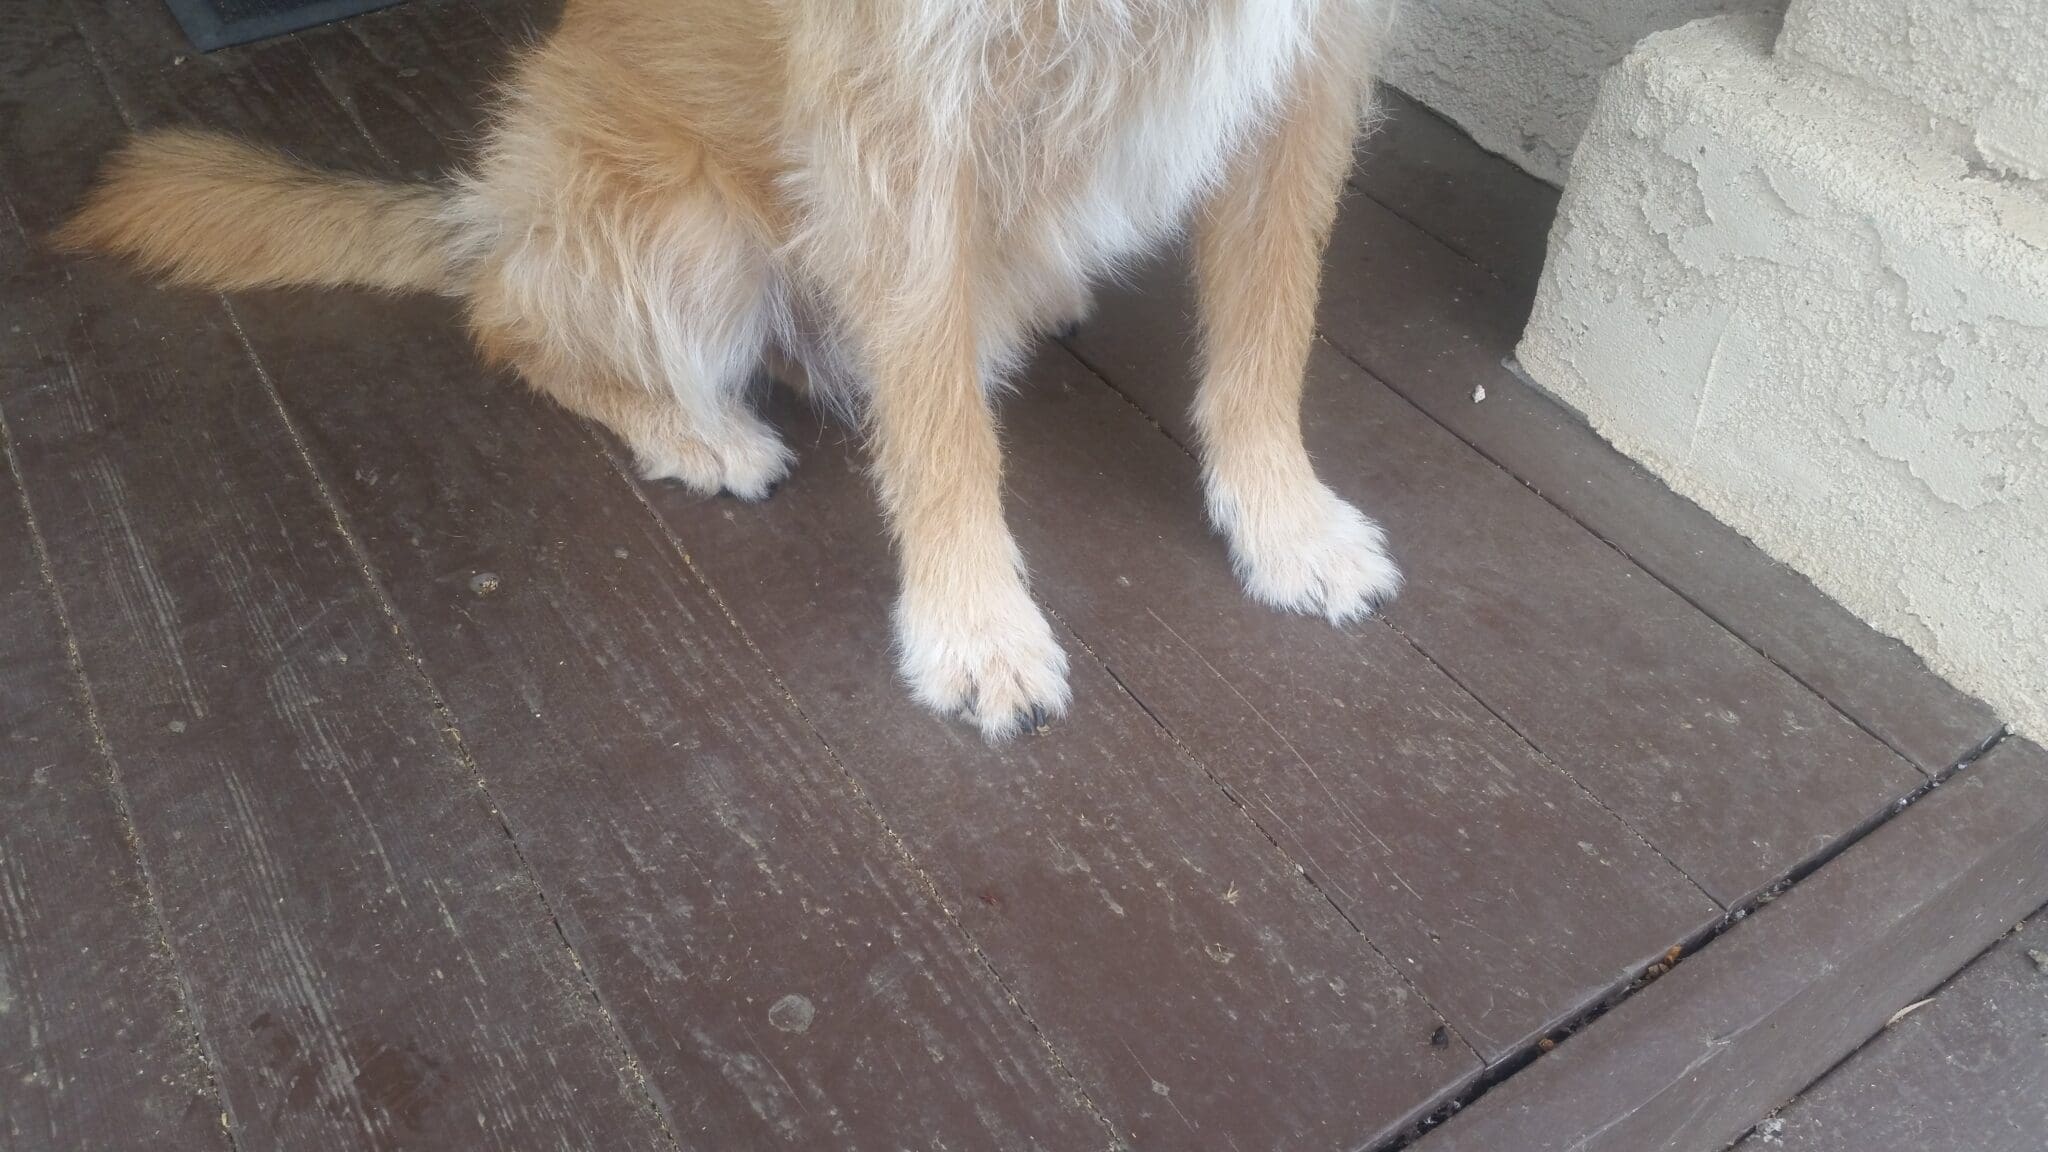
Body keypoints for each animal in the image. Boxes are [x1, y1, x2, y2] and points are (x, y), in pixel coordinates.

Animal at [64, 0, 1409, 733]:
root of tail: (489, 207)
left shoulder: (1312, 68)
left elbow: (1268, 331)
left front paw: (1280, 519)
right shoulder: (905, 118)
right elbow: (941, 427)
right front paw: (968, 618)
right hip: (689, 234)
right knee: (509, 319)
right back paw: (694, 431)